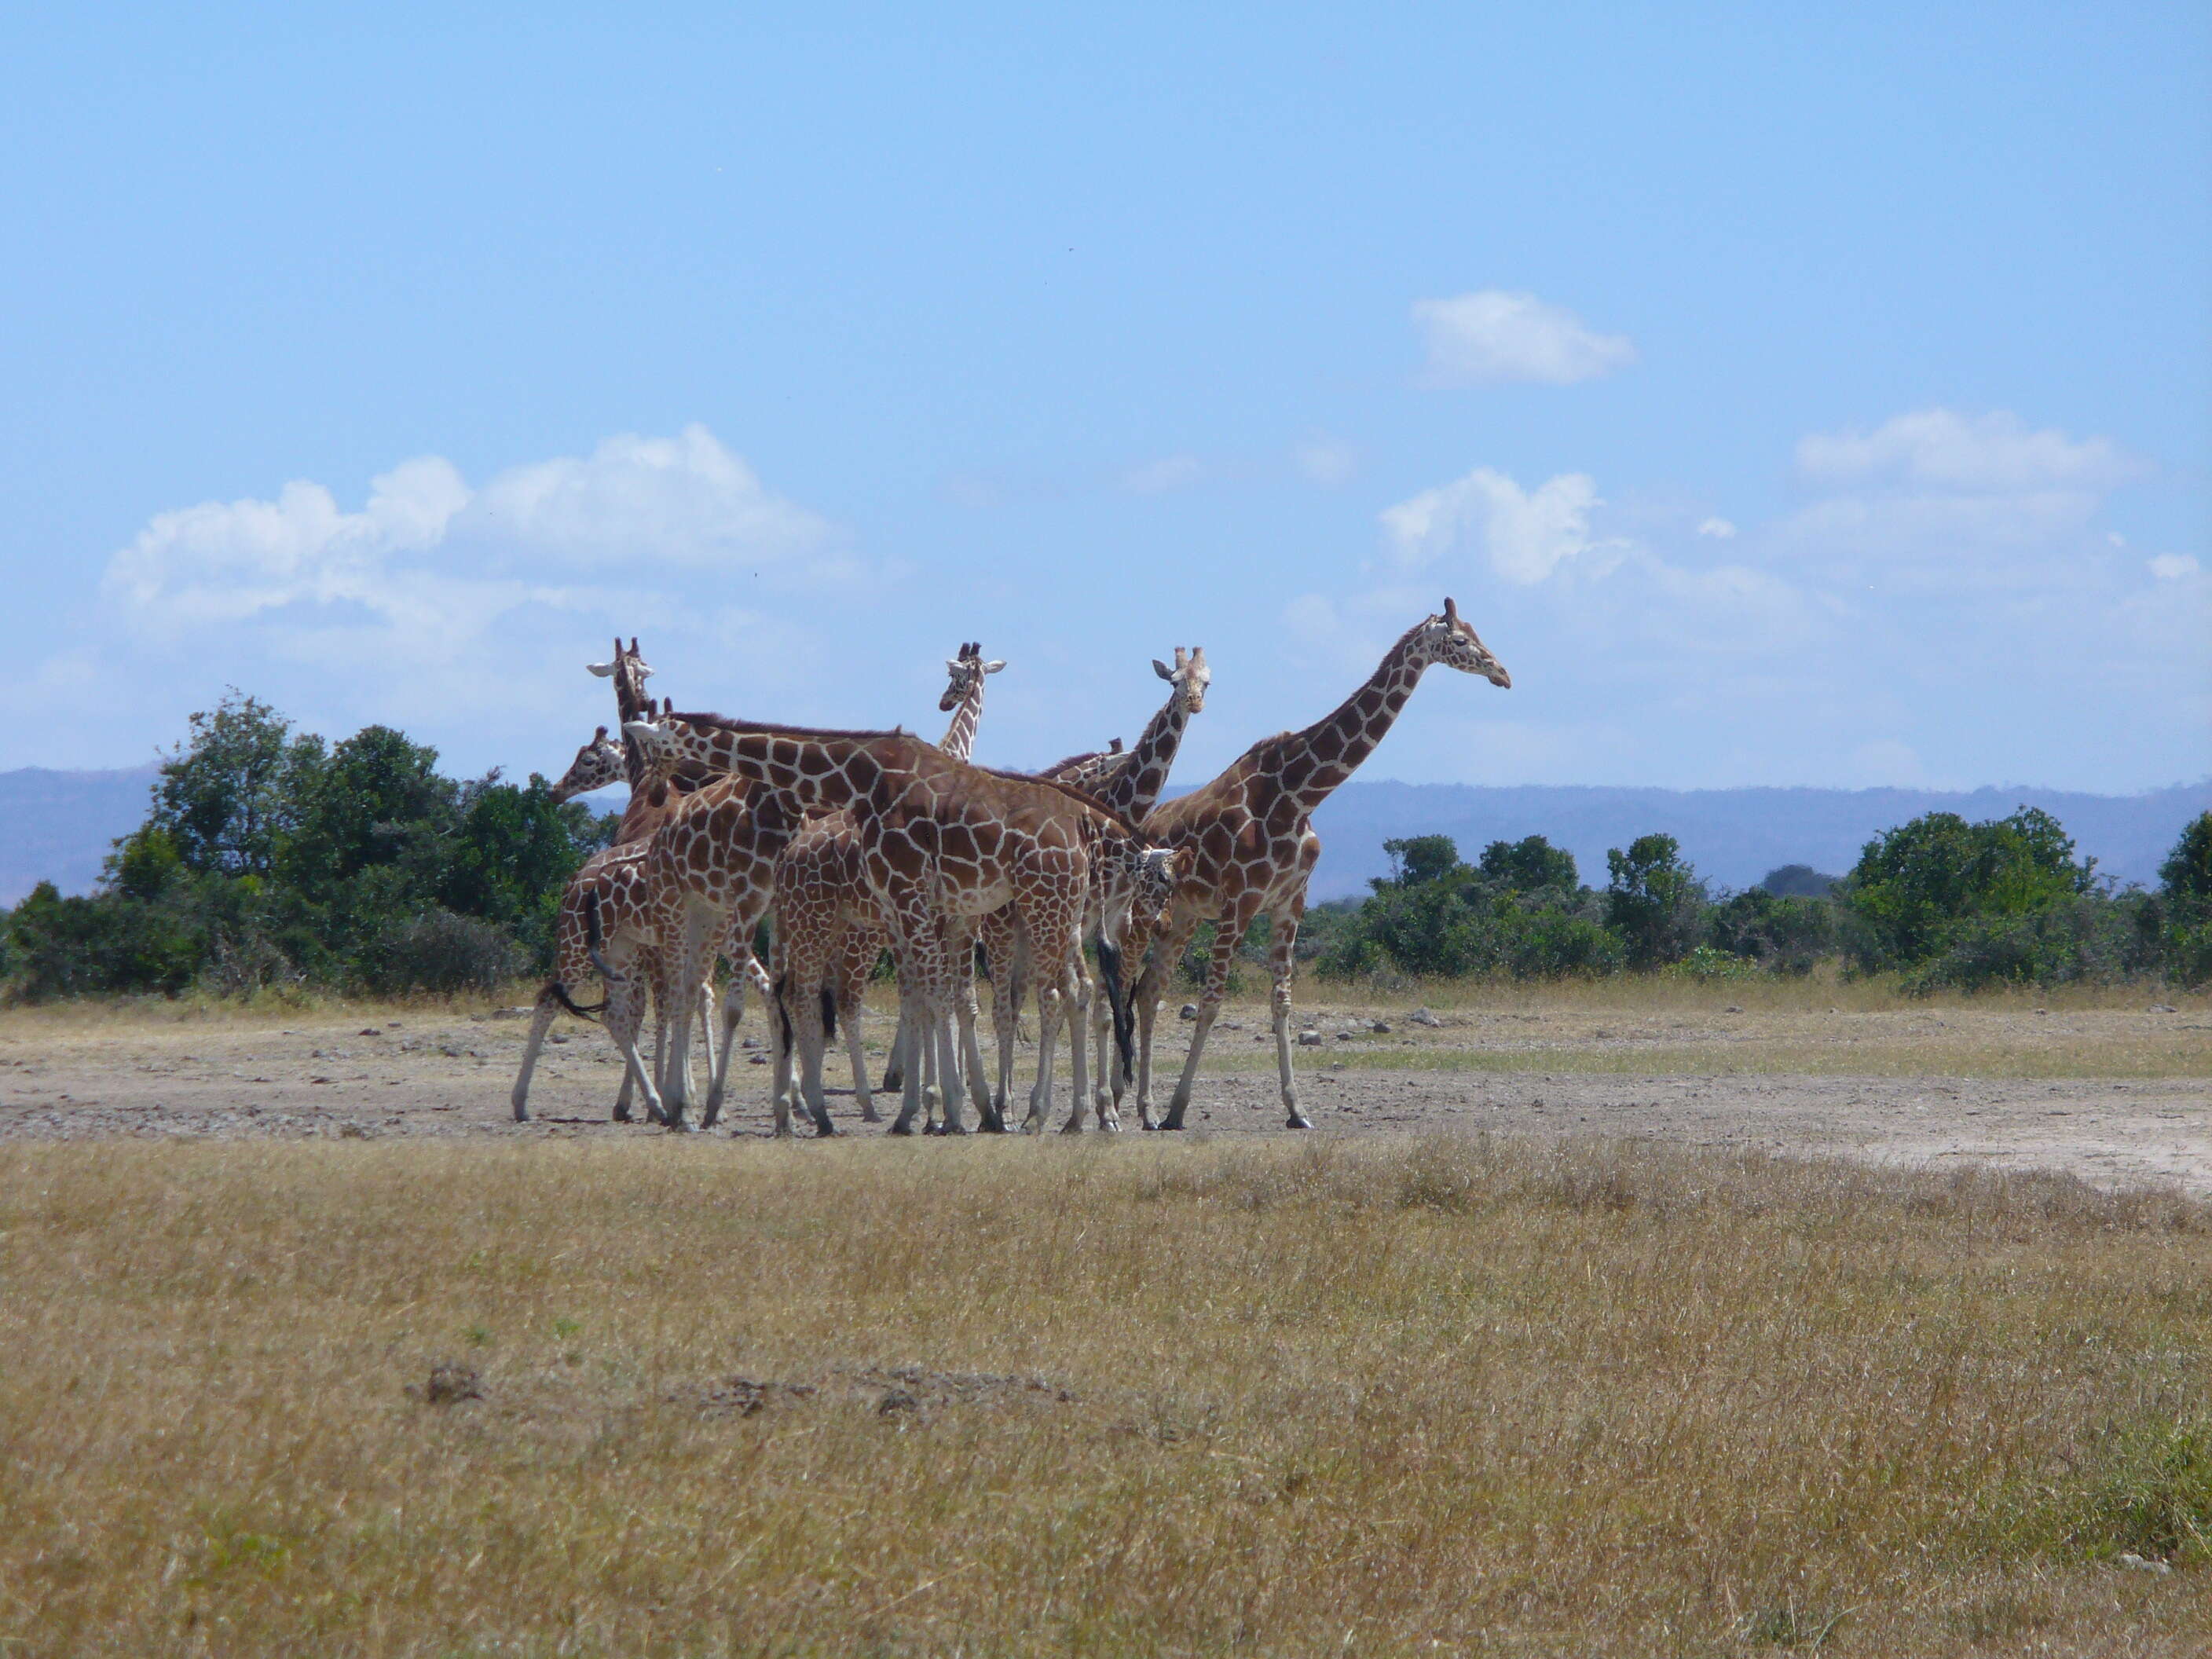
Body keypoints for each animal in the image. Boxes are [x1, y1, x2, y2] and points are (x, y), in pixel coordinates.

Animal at [614, 721, 1167, 1141]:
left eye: (655, 745)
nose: (659, 795)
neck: (863, 779)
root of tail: (1080, 825)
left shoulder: (916, 901)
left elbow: (940, 1000)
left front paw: (949, 1111)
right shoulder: (920, 908)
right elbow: (932, 1000)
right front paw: (940, 1110)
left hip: (1045, 905)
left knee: (1067, 991)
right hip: (1052, 908)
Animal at [1132, 606, 1513, 1141]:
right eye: (1459, 640)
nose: (1503, 674)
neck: (1299, 795)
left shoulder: (1290, 904)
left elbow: (1282, 1003)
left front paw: (1298, 1110)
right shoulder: (1239, 904)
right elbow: (1211, 1002)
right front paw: (1178, 1109)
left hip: (1182, 918)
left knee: (1149, 990)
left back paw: (1142, 1109)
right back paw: (1127, 1108)